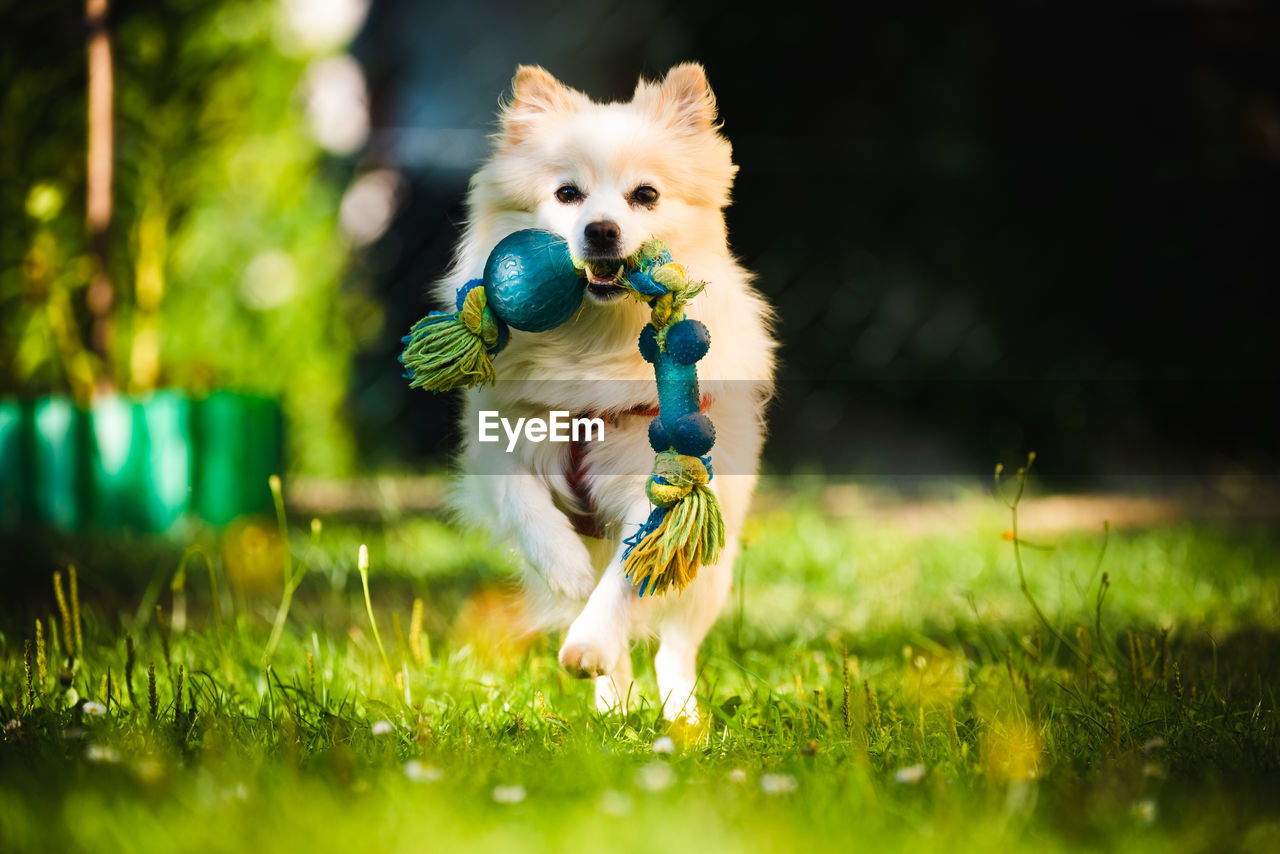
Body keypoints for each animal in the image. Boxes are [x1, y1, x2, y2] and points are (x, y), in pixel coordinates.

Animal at [440, 63, 773, 727]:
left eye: (645, 195)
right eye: (567, 194)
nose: (600, 230)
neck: (593, 343)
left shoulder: (664, 480)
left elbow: (628, 575)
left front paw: (589, 642)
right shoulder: (502, 435)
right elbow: (522, 499)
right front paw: (563, 567)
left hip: (710, 574)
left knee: (676, 645)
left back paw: (681, 717)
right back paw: (613, 705)